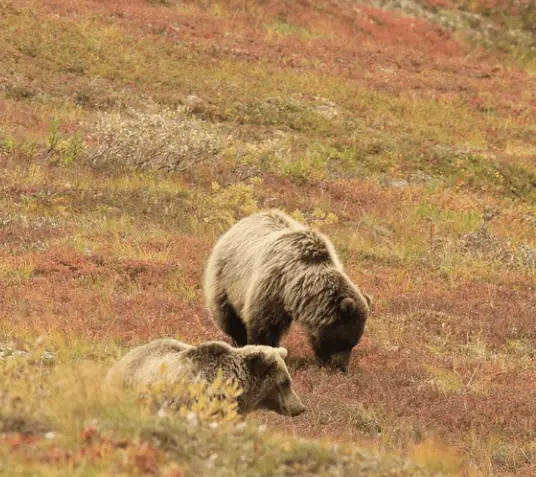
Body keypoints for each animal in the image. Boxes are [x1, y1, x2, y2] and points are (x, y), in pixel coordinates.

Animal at [204, 210, 372, 374]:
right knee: (228, 317)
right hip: (225, 280)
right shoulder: (271, 288)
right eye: (342, 342)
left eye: (354, 343)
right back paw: (238, 342)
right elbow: (263, 327)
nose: (341, 369)